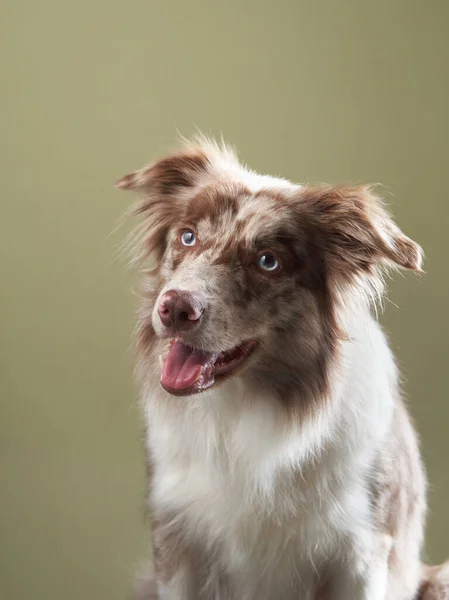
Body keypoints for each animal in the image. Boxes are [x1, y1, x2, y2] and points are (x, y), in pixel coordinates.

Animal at [116, 138, 448, 596]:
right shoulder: (177, 541)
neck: (243, 411)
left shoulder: (362, 550)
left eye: (267, 261)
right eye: (187, 236)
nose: (176, 308)